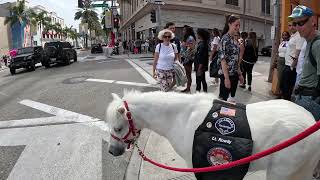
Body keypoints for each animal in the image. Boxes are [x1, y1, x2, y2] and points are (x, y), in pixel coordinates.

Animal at [107, 91, 320, 180]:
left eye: (117, 128)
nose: (111, 151)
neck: (181, 117)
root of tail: (312, 121)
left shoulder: (198, 164)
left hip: (281, 172)